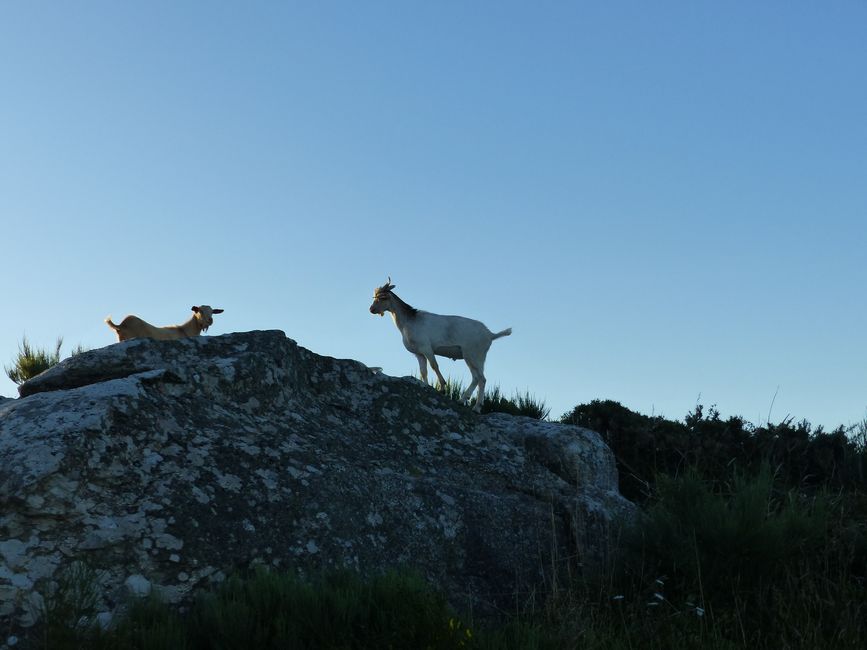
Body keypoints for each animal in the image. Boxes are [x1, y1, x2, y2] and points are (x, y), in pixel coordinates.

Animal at [370, 278, 512, 410]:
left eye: (383, 297)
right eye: (375, 297)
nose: (371, 309)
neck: (409, 321)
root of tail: (490, 334)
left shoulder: (426, 348)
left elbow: (434, 366)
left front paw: (443, 387)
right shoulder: (419, 354)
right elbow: (423, 372)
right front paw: (426, 385)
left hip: (472, 355)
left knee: (480, 378)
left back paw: (471, 405)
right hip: (479, 358)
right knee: (479, 379)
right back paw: (470, 403)